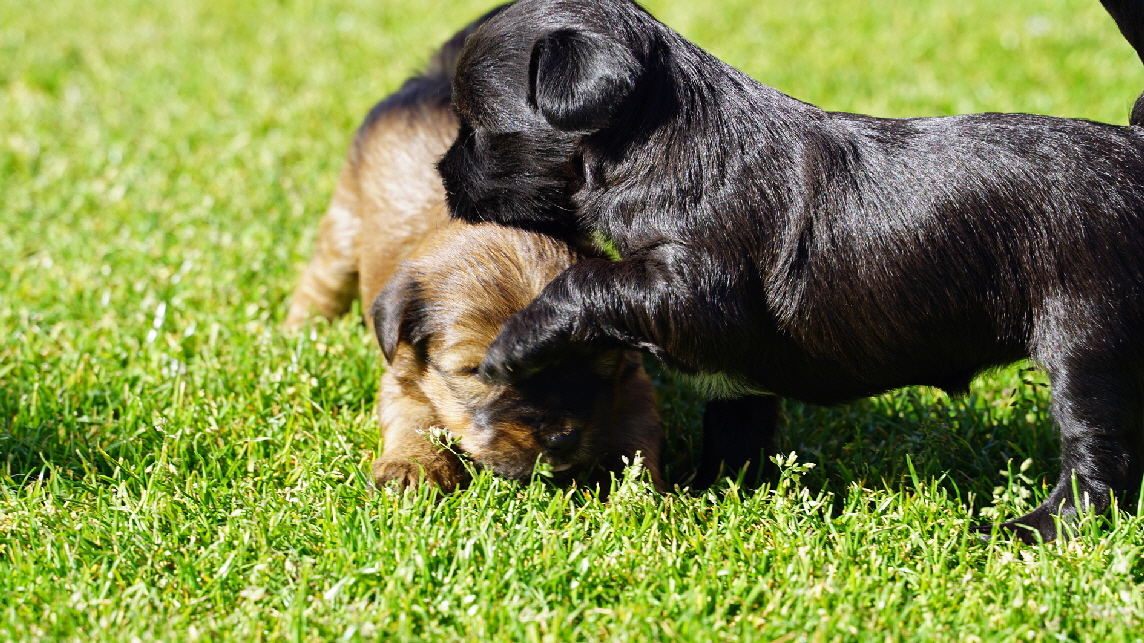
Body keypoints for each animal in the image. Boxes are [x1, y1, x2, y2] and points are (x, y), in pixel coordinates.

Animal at [283, 11, 663, 489]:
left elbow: (637, 436)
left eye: (588, 353)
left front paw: (640, 495)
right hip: (344, 221)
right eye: (478, 372)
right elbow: (415, 419)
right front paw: (411, 467)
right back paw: (298, 334)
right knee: (321, 286)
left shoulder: (630, 382)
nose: (561, 438)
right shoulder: (403, 375)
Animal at [441, 0, 1144, 540]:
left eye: (478, 130)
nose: (441, 176)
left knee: (1098, 456)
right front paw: (712, 495)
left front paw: (513, 346)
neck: (661, 145)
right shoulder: (732, 369)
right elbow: (735, 430)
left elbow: (592, 282)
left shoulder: (696, 289)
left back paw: (1037, 529)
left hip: (1087, 339)